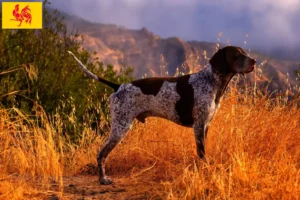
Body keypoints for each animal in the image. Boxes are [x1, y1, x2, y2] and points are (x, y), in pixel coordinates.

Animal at [68, 45, 255, 184]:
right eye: (236, 54)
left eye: (244, 53)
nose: (254, 61)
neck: (211, 81)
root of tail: (118, 86)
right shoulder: (199, 126)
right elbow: (201, 153)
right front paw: (204, 172)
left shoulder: (205, 126)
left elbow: (203, 153)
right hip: (120, 127)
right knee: (101, 154)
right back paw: (103, 179)